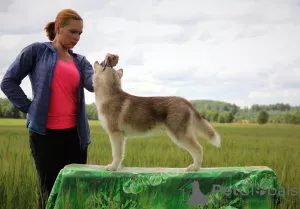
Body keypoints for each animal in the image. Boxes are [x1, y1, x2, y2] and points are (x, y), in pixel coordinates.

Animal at [92, 61, 221, 172]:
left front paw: (112, 167)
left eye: (104, 66)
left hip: (180, 135)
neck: (109, 95)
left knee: (199, 149)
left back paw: (195, 168)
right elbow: (121, 154)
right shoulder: (121, 137)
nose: (99, 61)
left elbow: (116, 154)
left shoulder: (115, 134)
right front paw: (118, 167)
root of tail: (185, 101)